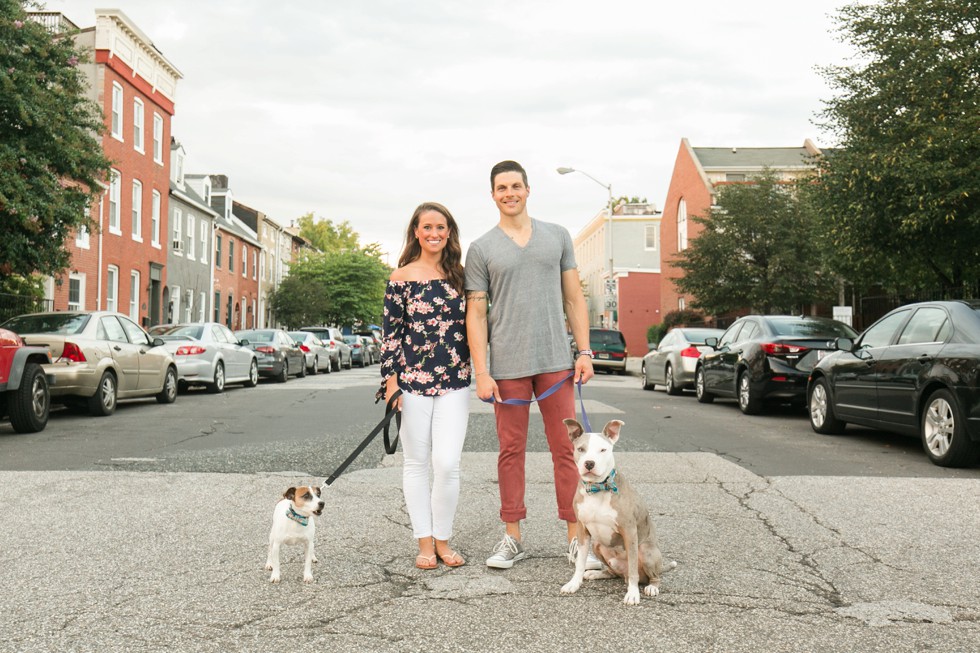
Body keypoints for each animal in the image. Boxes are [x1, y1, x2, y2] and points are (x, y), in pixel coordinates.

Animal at [560, 420, 672, 604]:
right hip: (597, 545)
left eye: (603, 450)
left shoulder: (629, 532)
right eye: (581, 449)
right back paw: (596, 573)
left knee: (651, 576)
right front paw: (574, 584)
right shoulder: (582, 530)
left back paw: (651, 587)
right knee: (612, 572)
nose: (589, 463)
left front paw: (632, 594)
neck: (598, 488)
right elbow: (580, 563)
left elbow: (633, 567)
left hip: (646, 550)